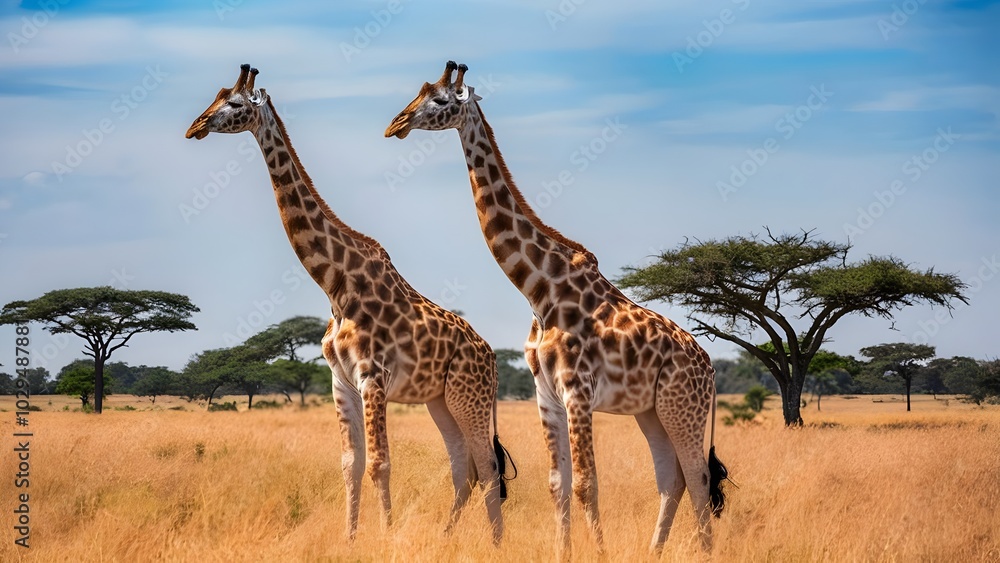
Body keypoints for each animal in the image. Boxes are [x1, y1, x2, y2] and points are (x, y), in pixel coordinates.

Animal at [185, 64, 511, 544]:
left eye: (235, 104)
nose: (196, 126)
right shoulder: (341, 381)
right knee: (464, 469)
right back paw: (450, 537)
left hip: (469, 397)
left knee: (487, 467)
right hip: (440, 400)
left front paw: (387, 537)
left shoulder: (373, 377)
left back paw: (494, 542)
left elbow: (380, 463)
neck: (334, 284)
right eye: (216, 96)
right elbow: (350, 466)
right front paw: (350, 538)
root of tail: (491, 356)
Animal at [385, 61, 727, 557]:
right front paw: (562, 552)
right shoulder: (546, 394)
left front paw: (600, 554)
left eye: (441, 100)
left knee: (699, 479)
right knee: (673, 479)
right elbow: (558, 486)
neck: (539, 290)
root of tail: (711, 368)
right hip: (652, 412)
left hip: (684, 408)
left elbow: (587, 484)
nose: (396, 124)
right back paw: (654, 552)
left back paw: (702, 552)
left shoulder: (578, 391)